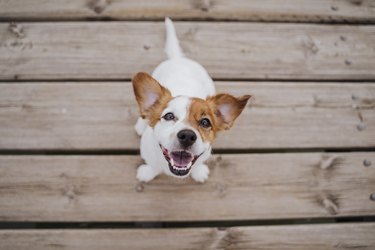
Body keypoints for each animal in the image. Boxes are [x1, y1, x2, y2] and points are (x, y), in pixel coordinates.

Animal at [134, 17, 251, 182]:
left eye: (205, 122)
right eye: (168, 116)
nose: (187, 136)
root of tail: (178, 59)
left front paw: (199, 172)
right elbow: (153, 166)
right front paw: (147, 173)